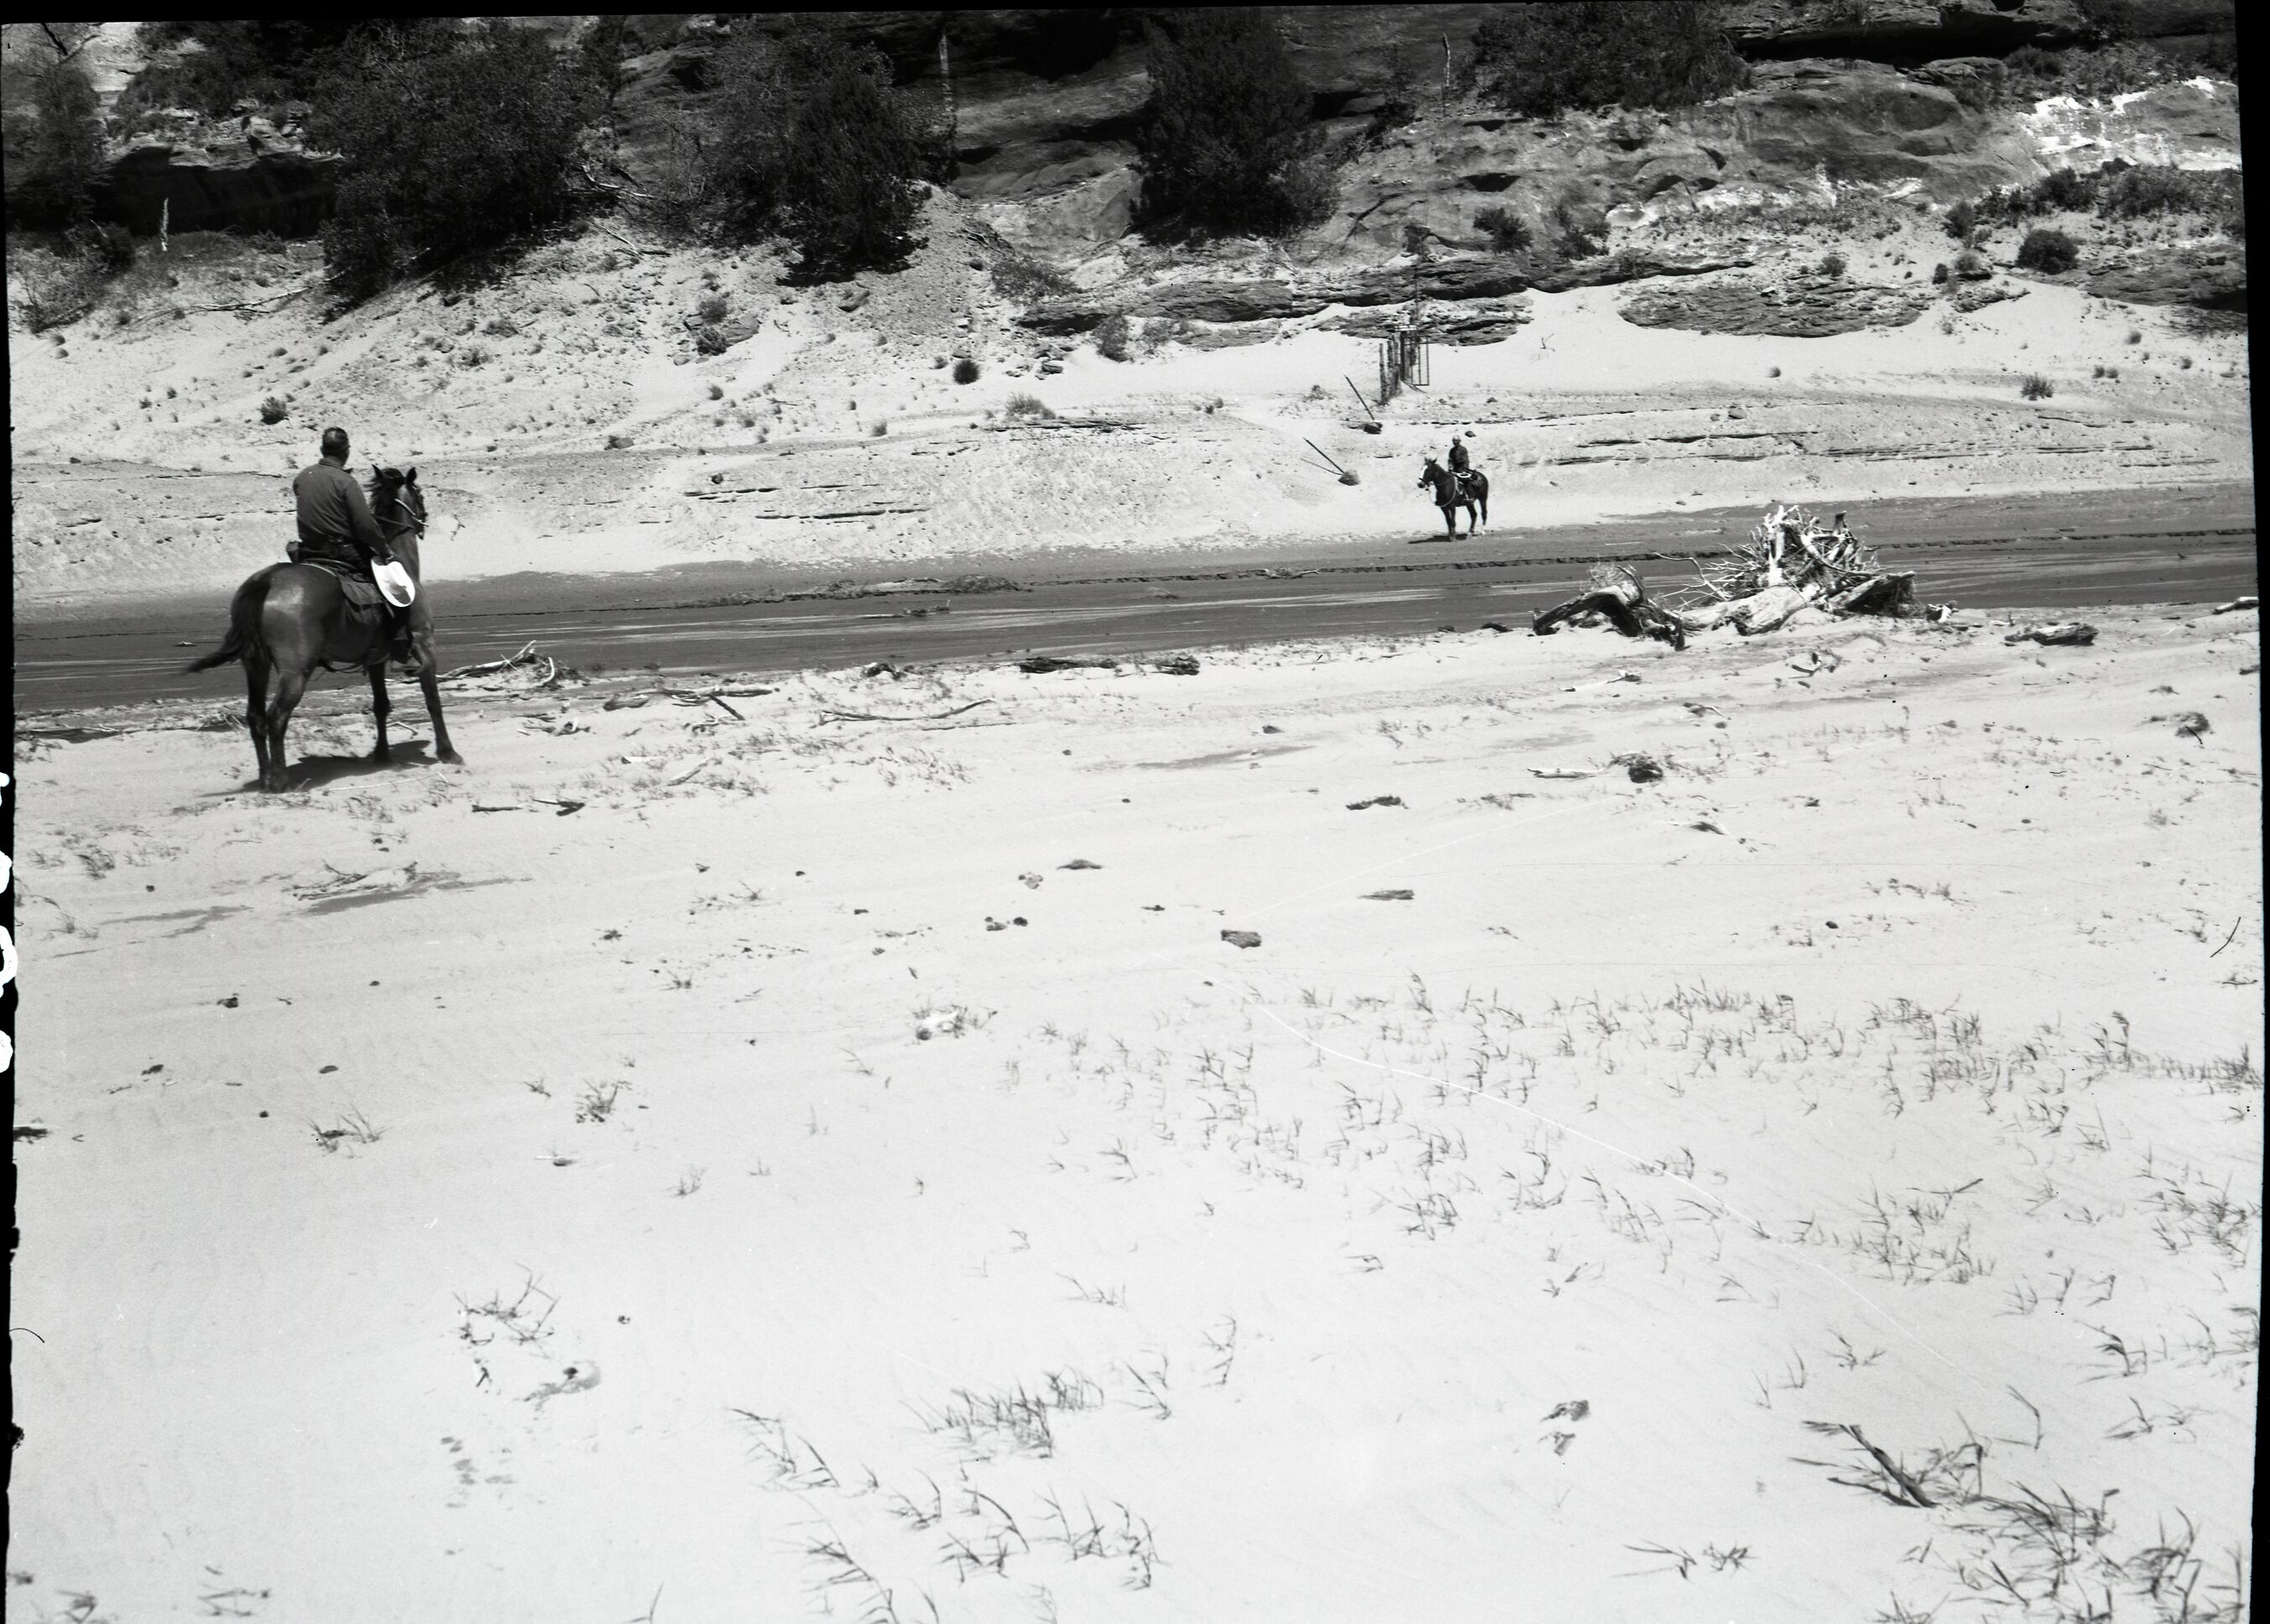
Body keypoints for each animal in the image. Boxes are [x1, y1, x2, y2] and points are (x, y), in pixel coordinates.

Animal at [187, 467, 461, 799]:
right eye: (419, 494)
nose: (423, 519)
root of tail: (267, 580)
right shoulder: (424, 644)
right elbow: (433, 700)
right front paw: (448, 752)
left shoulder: (376, 660)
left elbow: (381, 706)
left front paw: (382, 755)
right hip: (295, 670)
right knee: (276, 716)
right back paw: (280, 781)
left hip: (255, 665)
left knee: (255, 716)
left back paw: (265, 778)